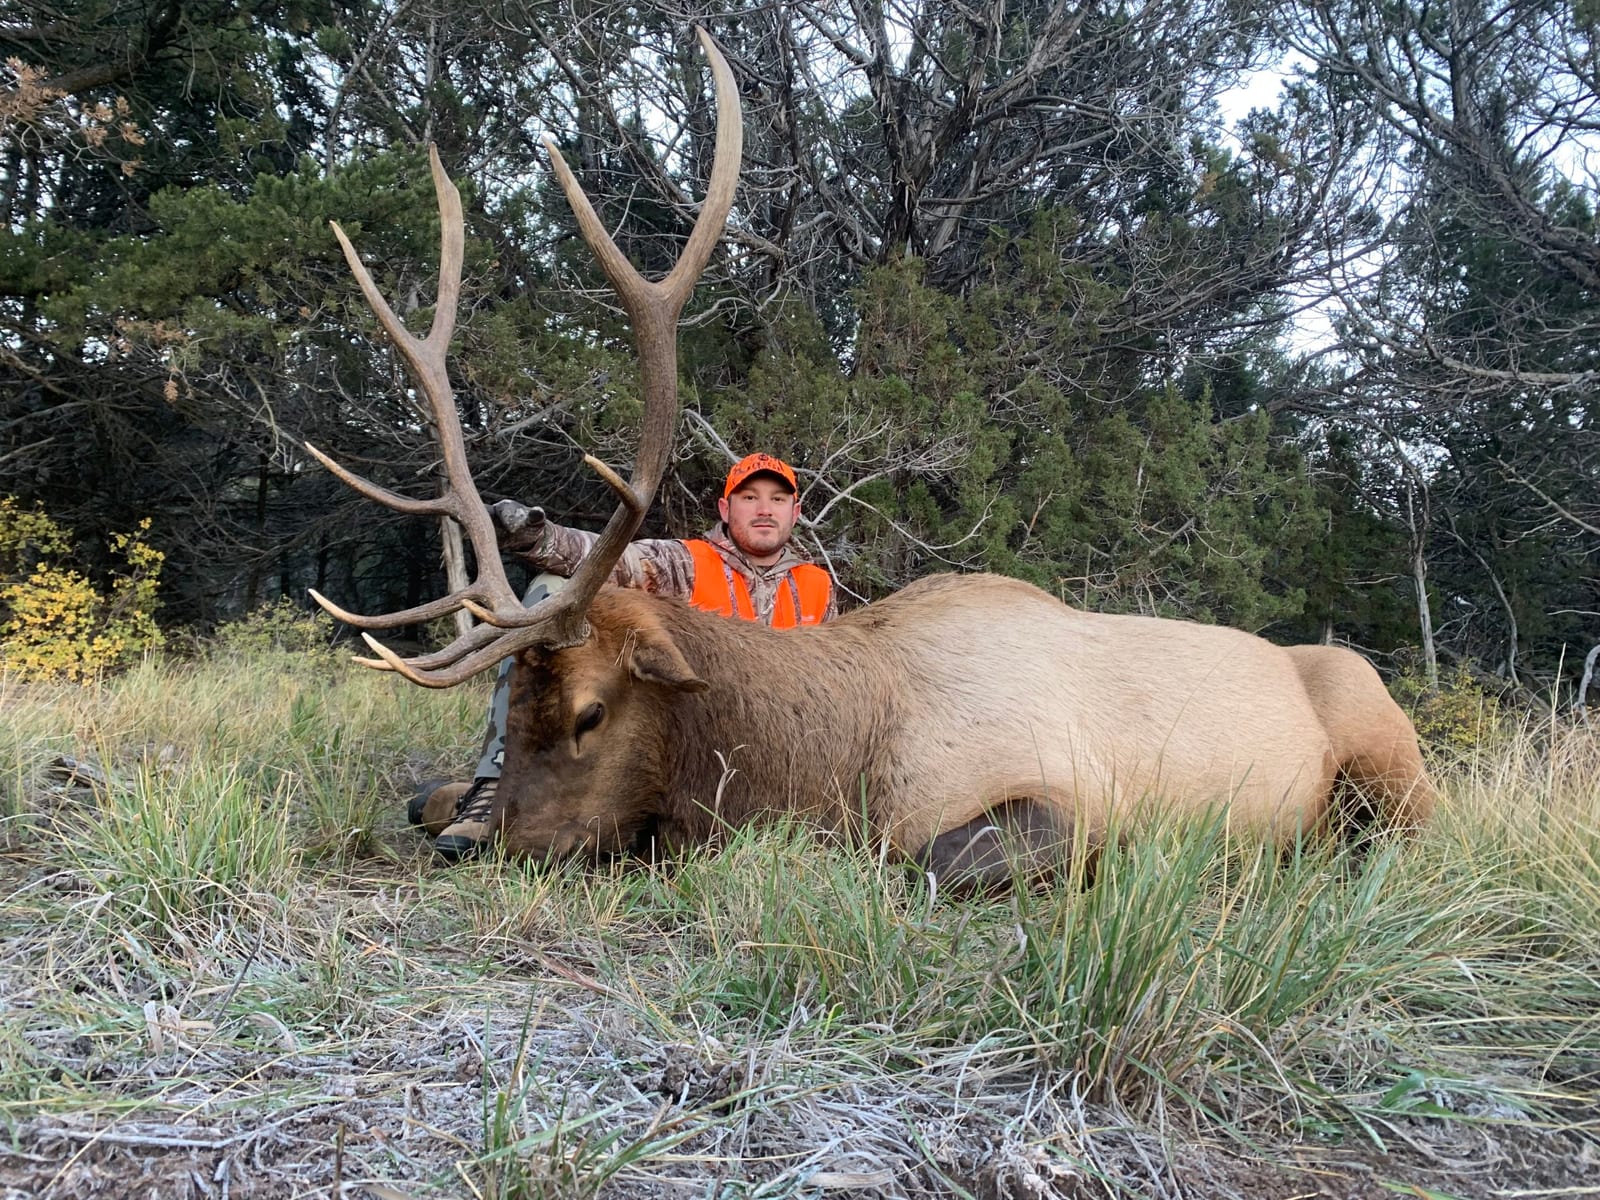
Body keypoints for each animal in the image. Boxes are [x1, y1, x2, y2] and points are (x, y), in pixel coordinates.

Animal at [305, 30, 1435, 890]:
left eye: (589, 712)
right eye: (520, 709)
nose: (486, 846)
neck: (842, 755)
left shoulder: (1073, 799)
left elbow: (922, 860)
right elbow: (417, 789)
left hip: (1388, 744)